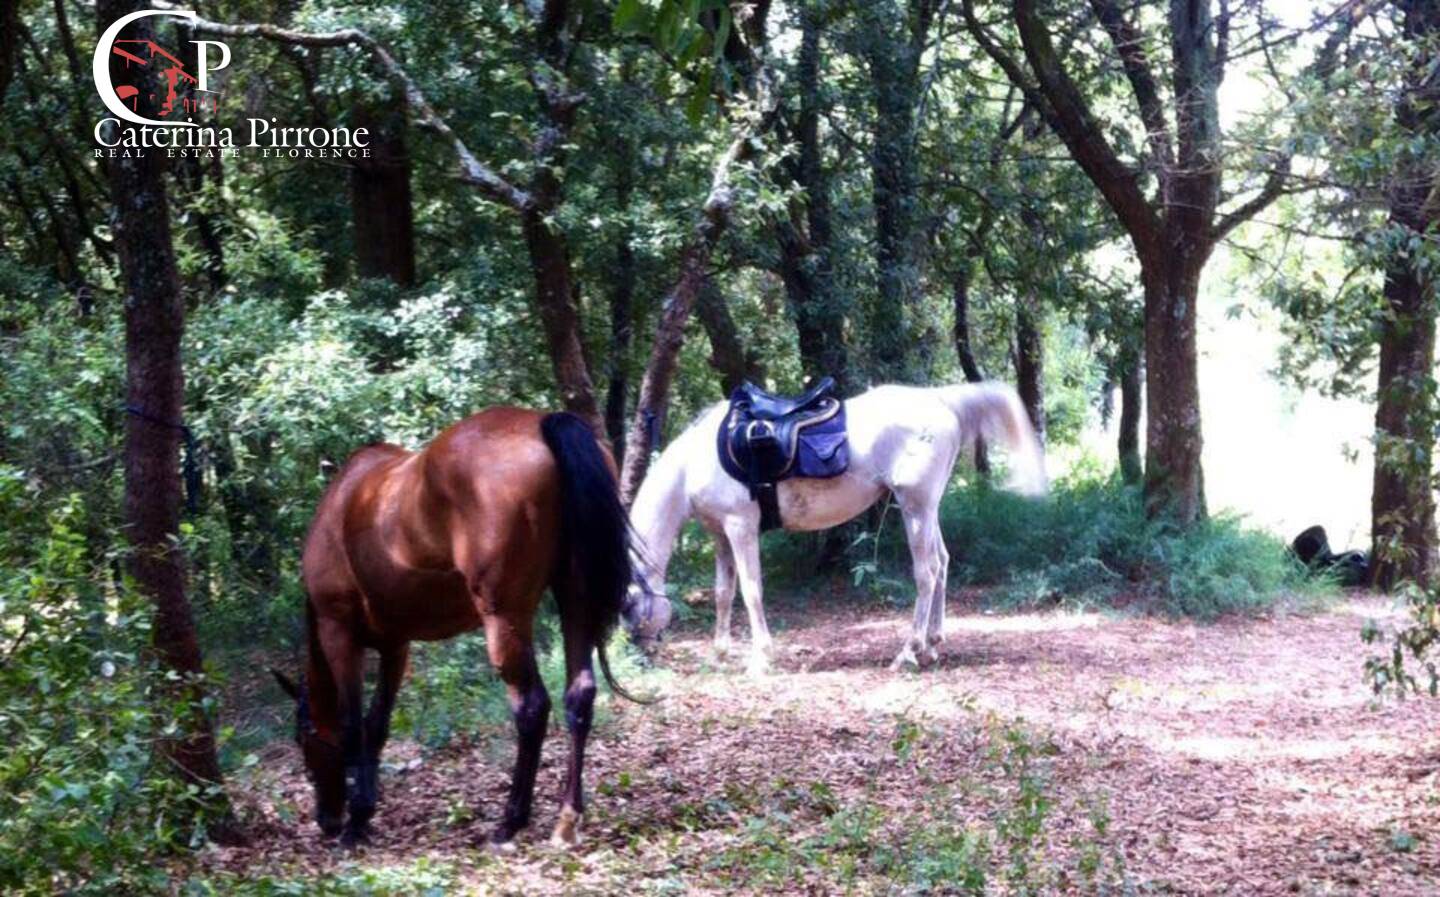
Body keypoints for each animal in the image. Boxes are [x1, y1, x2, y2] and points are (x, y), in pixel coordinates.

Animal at [270, 408, 668, 846]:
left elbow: (352, 725)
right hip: (574, 597)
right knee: (579, 695)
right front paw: (364, 813)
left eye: (303, 740)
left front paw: (356, 822)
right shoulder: (396, 645)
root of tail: (543, 421)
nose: (326, 819)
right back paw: (566, 818)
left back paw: (511, 820)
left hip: (504, 618)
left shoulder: (339, 634)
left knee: (532, 708)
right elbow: (377, 725)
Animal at [630, 380, 1048, 673]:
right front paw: (719, 654)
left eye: (628, 604)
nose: (640, 655)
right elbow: (722, 593)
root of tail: (941, 401)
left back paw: (909, 651)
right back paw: (931, 644)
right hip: (928, 509)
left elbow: (751, 591)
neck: (694, 463)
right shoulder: (719, 534)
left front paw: (761, 658)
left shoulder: (740, 527)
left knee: (927, 572)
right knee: (943, 563)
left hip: (915, 506)